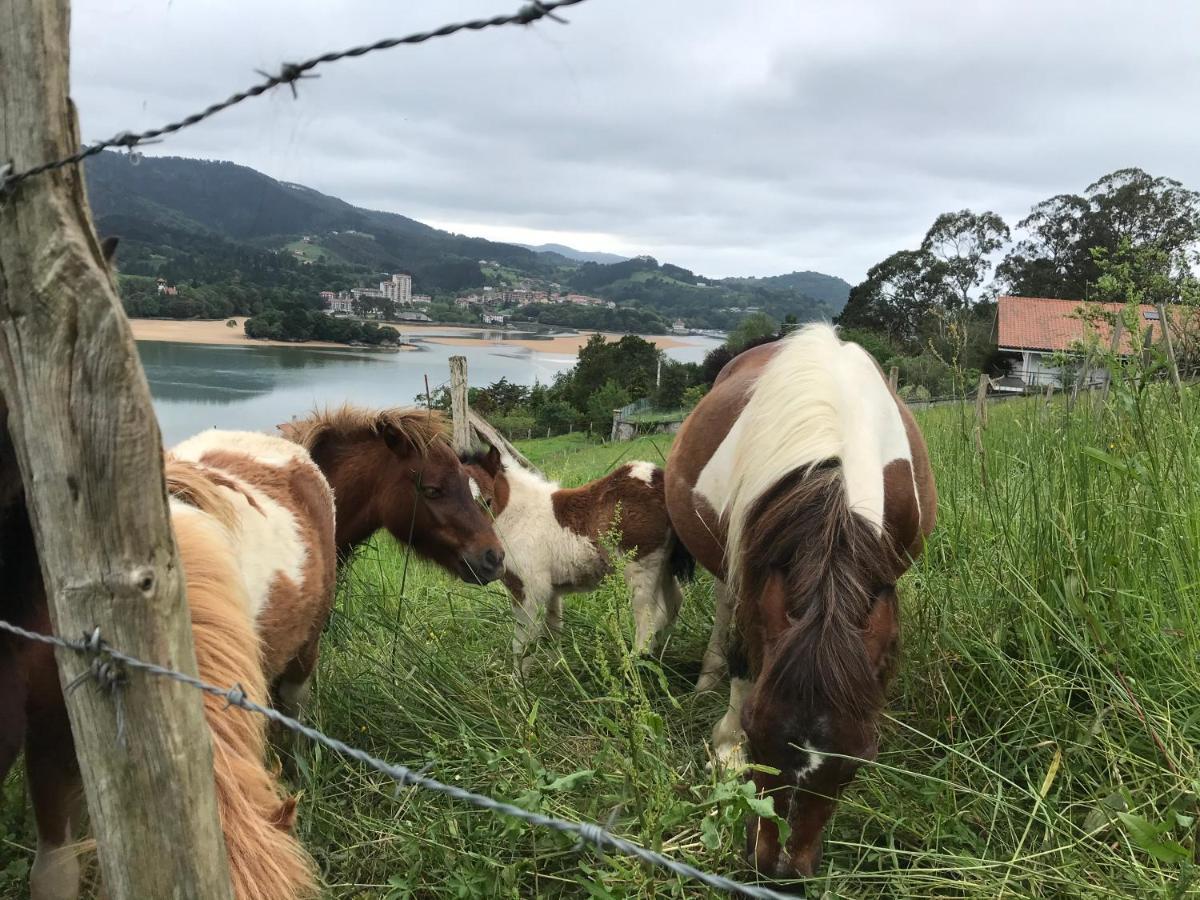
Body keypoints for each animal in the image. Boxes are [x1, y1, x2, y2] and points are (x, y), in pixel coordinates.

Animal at [458, 448, 691, 672]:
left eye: (487, 501)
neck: (519, 516)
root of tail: (659, 480)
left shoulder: (528, 590)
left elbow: (522, 643)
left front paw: (519, 683)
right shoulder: (550, 591)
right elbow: (552, 631)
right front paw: (557, 669)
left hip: (641, 566)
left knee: (651, 615)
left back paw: (636, 664)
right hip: (664, 565)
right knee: (674, 603)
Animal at [667, 324, 936, 883]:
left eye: (862, 757)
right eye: (754, 731)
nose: (781, 869)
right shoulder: (752, 567)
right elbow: (745, 654)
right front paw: (726, 745)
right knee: (724, 607)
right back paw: (708, 675)